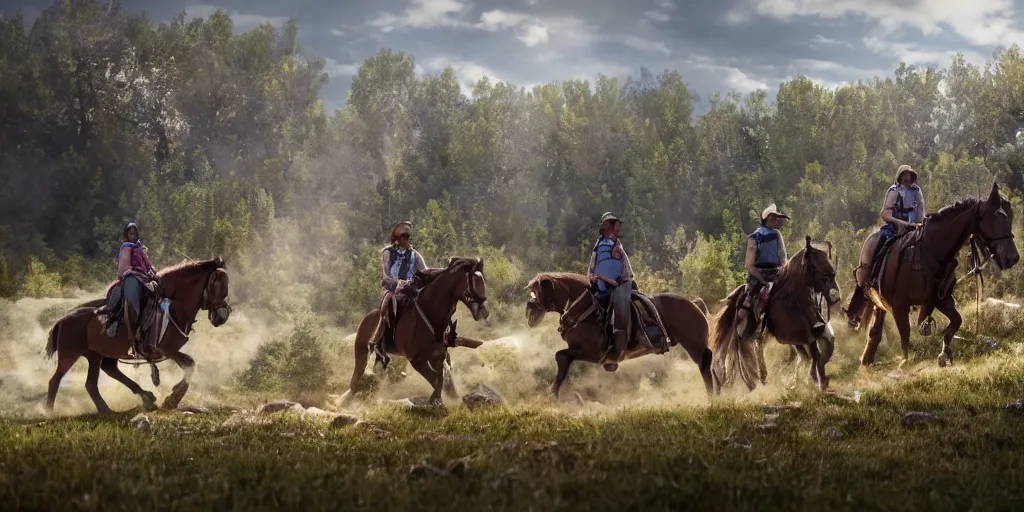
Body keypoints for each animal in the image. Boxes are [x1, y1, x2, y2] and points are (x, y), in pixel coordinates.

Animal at [45, 260, 231, 415]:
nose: (222, 316)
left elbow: (190, 366)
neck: (175, 308)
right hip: (70, 355)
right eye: (216, 284)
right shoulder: (166, 349)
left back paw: (122, 405)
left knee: (96, 380)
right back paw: (48, 413)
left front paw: (172, 397)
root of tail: (62, 320)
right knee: (55, 380)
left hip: (96, 355)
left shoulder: (170, 351)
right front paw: (173, 398)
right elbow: (190, 365)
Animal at [342, 258, 489, 405]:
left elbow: (442, 383)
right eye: (473, 281)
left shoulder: (437, 358)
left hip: (380, 356)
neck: (432, 315)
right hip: (362, 352)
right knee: (356, 378)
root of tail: (366, 318)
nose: (484, 311)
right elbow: (437, 382)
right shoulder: (418, 361)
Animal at [524, 274, 716, 397]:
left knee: (706, 368)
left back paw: (711, 398)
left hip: (695, 346)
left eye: (537, 291)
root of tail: (694, 304)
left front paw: (552, 393)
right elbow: (562, 359)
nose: (528, 313)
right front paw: (553, 392)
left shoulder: (594, 353)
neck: (587, 309)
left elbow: (561, 356)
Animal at [712, 235, 839, 391]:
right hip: (752, 333)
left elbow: (814, 353)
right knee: (754, 348)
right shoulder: (794, 334)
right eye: (814, 265)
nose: (834, 293)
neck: (794, 301)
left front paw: (814, 379)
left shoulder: (811, 332)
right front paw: (816, 380)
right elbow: (813, 353)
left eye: (826, 258)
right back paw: (759, 377)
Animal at [843, 182, 1019, 366]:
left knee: (876, 329)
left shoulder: (941, 299)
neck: (930, 252)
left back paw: (867, 358)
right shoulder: (900, 307)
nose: (1012, 258)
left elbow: (955, 322)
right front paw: (905, 363)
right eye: (994, 218)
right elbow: (905, 339)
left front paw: (944, 355)